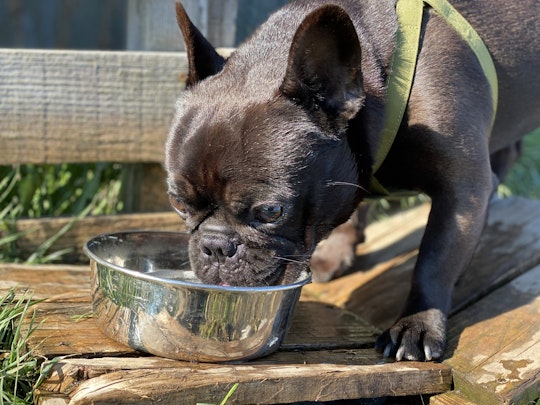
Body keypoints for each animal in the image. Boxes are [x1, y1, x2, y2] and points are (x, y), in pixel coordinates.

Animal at [166, 0, 540, 360]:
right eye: (178, 202)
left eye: (270, 212)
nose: (215, 246)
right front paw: (336, 250)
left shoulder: (461, 191)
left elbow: (434, 261)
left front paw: (418, 323)